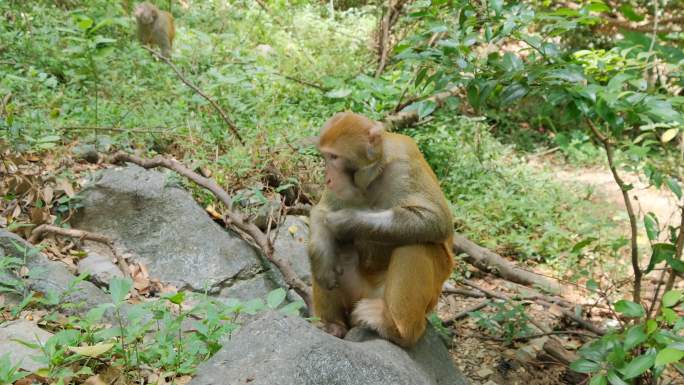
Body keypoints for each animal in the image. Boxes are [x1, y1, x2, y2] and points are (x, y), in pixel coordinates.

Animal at [308, 112, 452, 348]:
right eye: (325, 157)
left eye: (334, 157)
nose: (327, 178)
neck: (374, 176)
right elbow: (321, 213)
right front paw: (323, 261)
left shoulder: (405, 164)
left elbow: (436, 220)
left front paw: (347, 221)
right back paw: (333, 325)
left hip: (415, 302)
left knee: (416, 245)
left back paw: (394, 327)